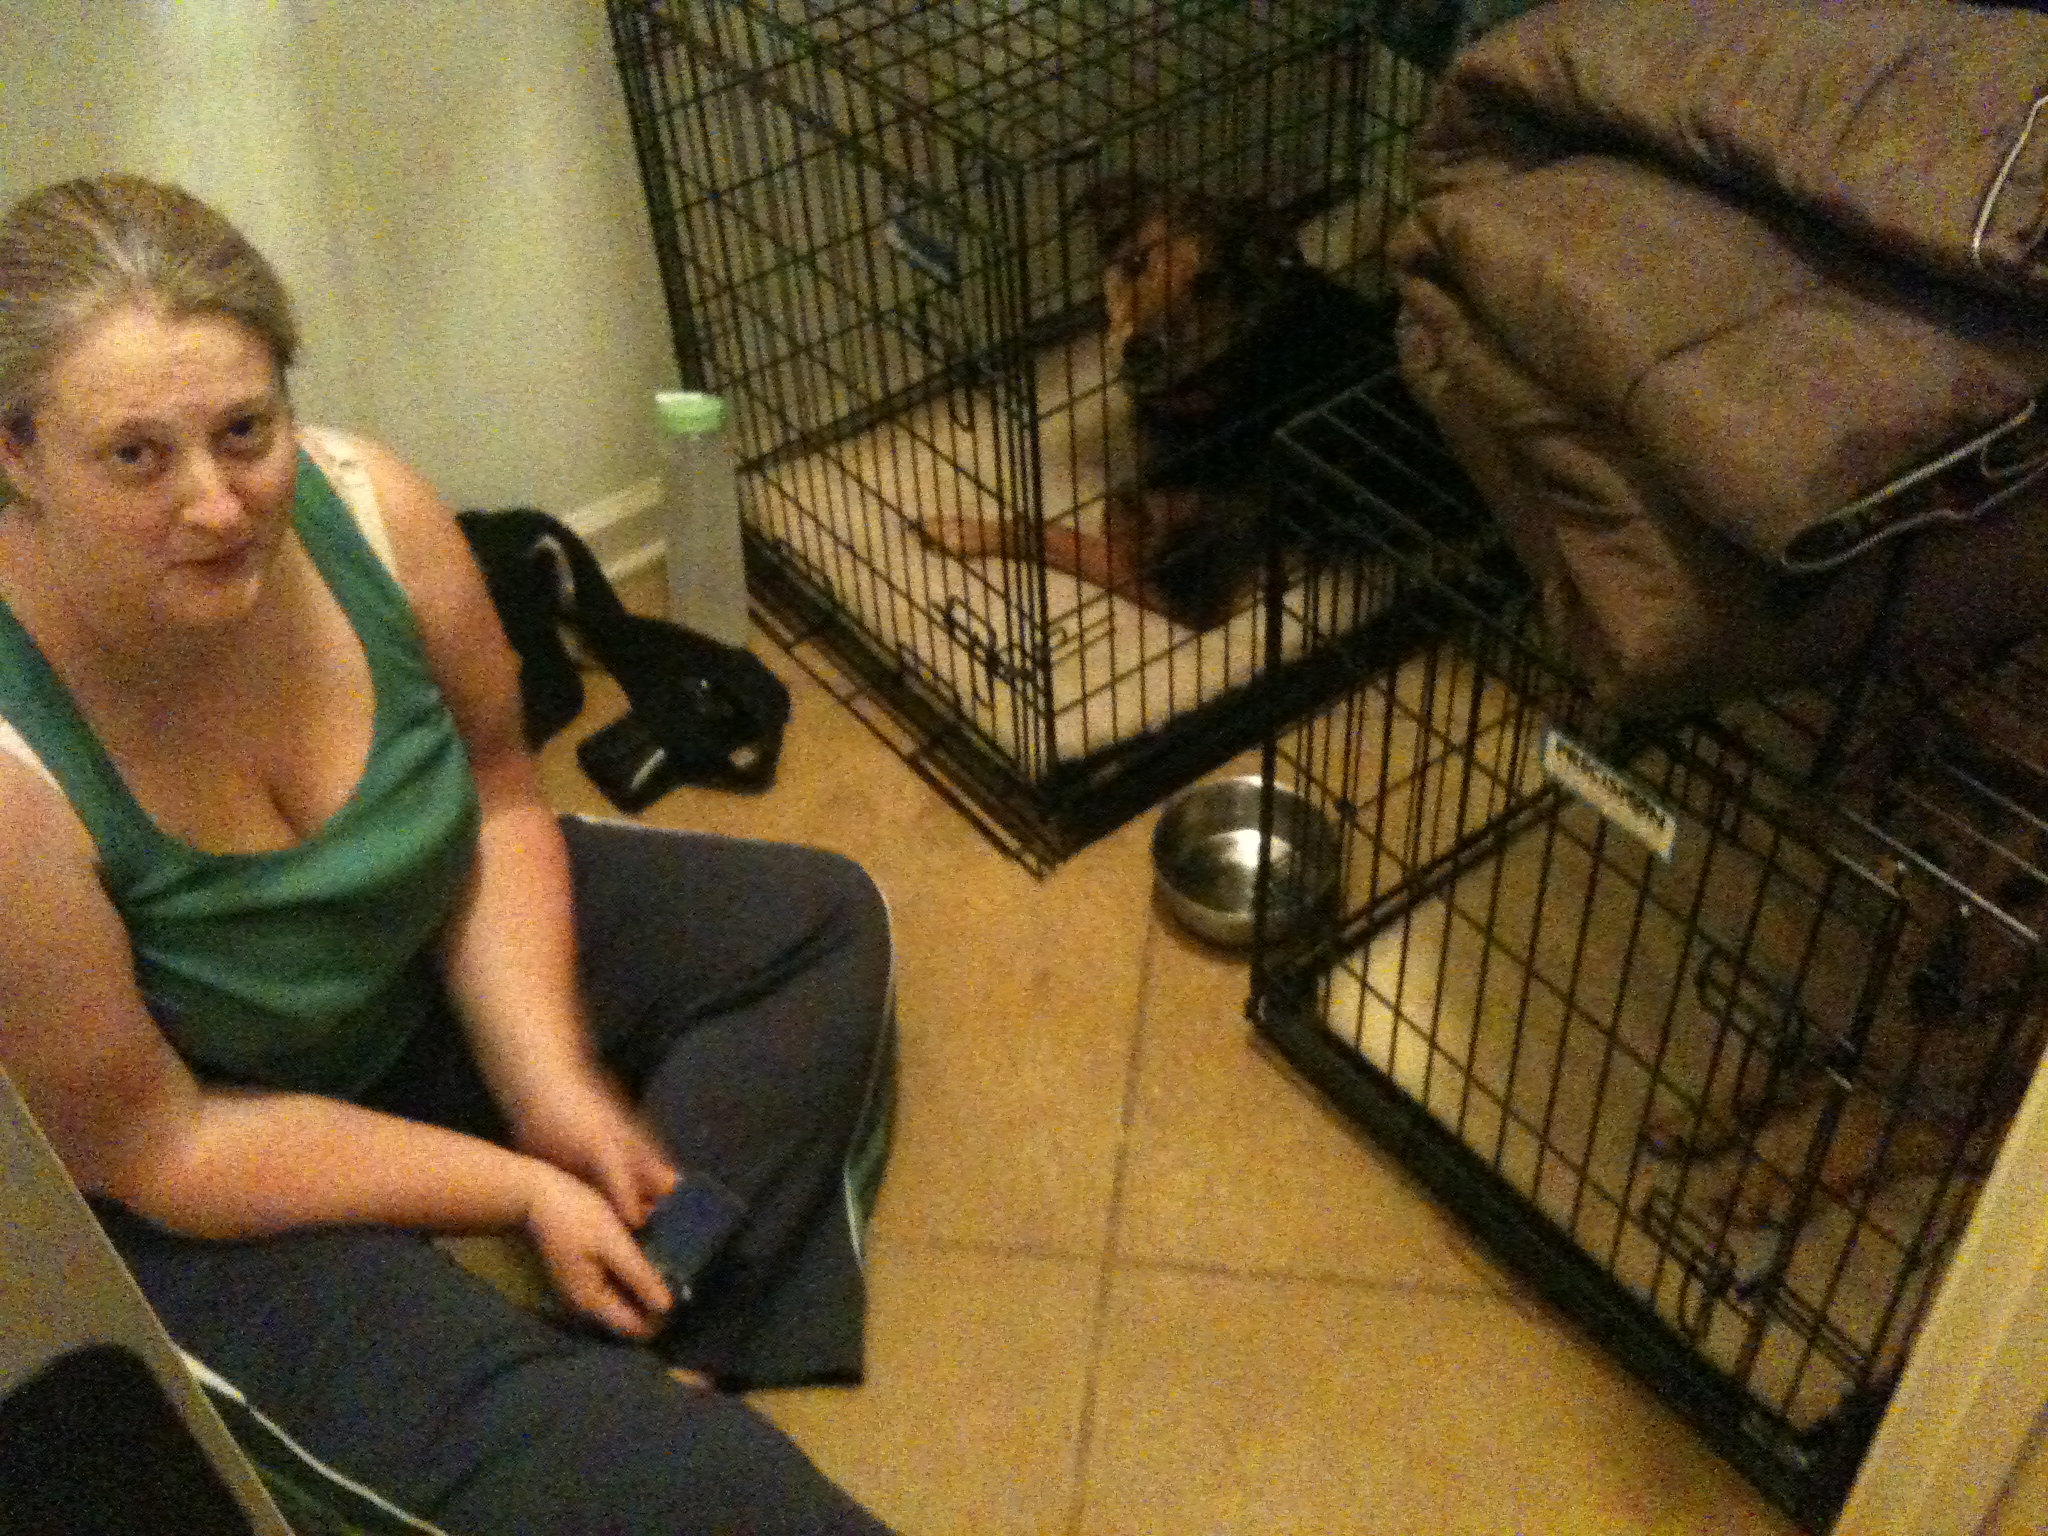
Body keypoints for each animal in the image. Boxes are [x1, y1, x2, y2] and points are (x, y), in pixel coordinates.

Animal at [925, 175, 1380, 629]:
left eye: (1208, 282)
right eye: (1136, 261)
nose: (1141, 351)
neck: (1238, 368)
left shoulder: (1188, 588)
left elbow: (1055, 532)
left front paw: (957, 531)